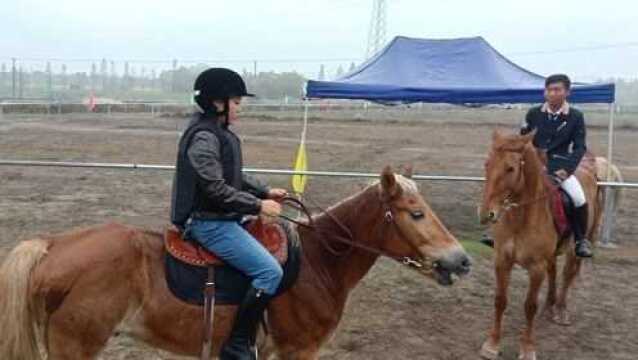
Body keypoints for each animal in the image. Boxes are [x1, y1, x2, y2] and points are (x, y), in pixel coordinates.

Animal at [480, 131, 604, 360]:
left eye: (510, 168)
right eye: (487, 164)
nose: (486, 214)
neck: (520, 218)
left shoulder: (536, 267)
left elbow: (529, 306)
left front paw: (527, 349)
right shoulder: (502, 261)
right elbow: (500, 300)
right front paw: (492, 344)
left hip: (574, 249)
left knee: (567, 275)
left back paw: (561, 310)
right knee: (553, 271)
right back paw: (549, 306)